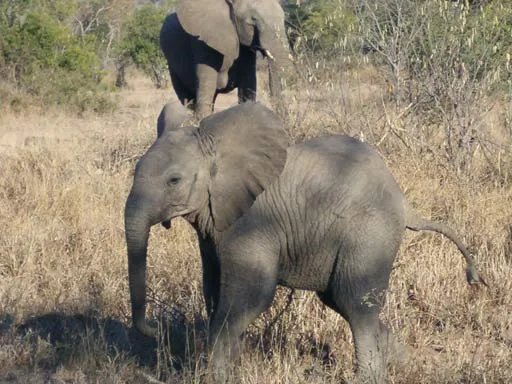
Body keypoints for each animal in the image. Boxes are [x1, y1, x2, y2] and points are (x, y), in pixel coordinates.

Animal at [126, 100, 486, 382]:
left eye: (174, 180)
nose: (155, 331)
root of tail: (404, 203)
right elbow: (213, 292)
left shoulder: (251, 224)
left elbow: (247, 298)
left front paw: (213, 378)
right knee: (339, 298)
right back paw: (405, 362)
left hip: (370, 232)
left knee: (355, 303)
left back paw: (370, 376)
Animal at [160, 0, 292, 118]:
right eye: (252, 20)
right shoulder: (202, 42)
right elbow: (206, 91)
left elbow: (248, 86)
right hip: (171, 63)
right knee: (187, 99)